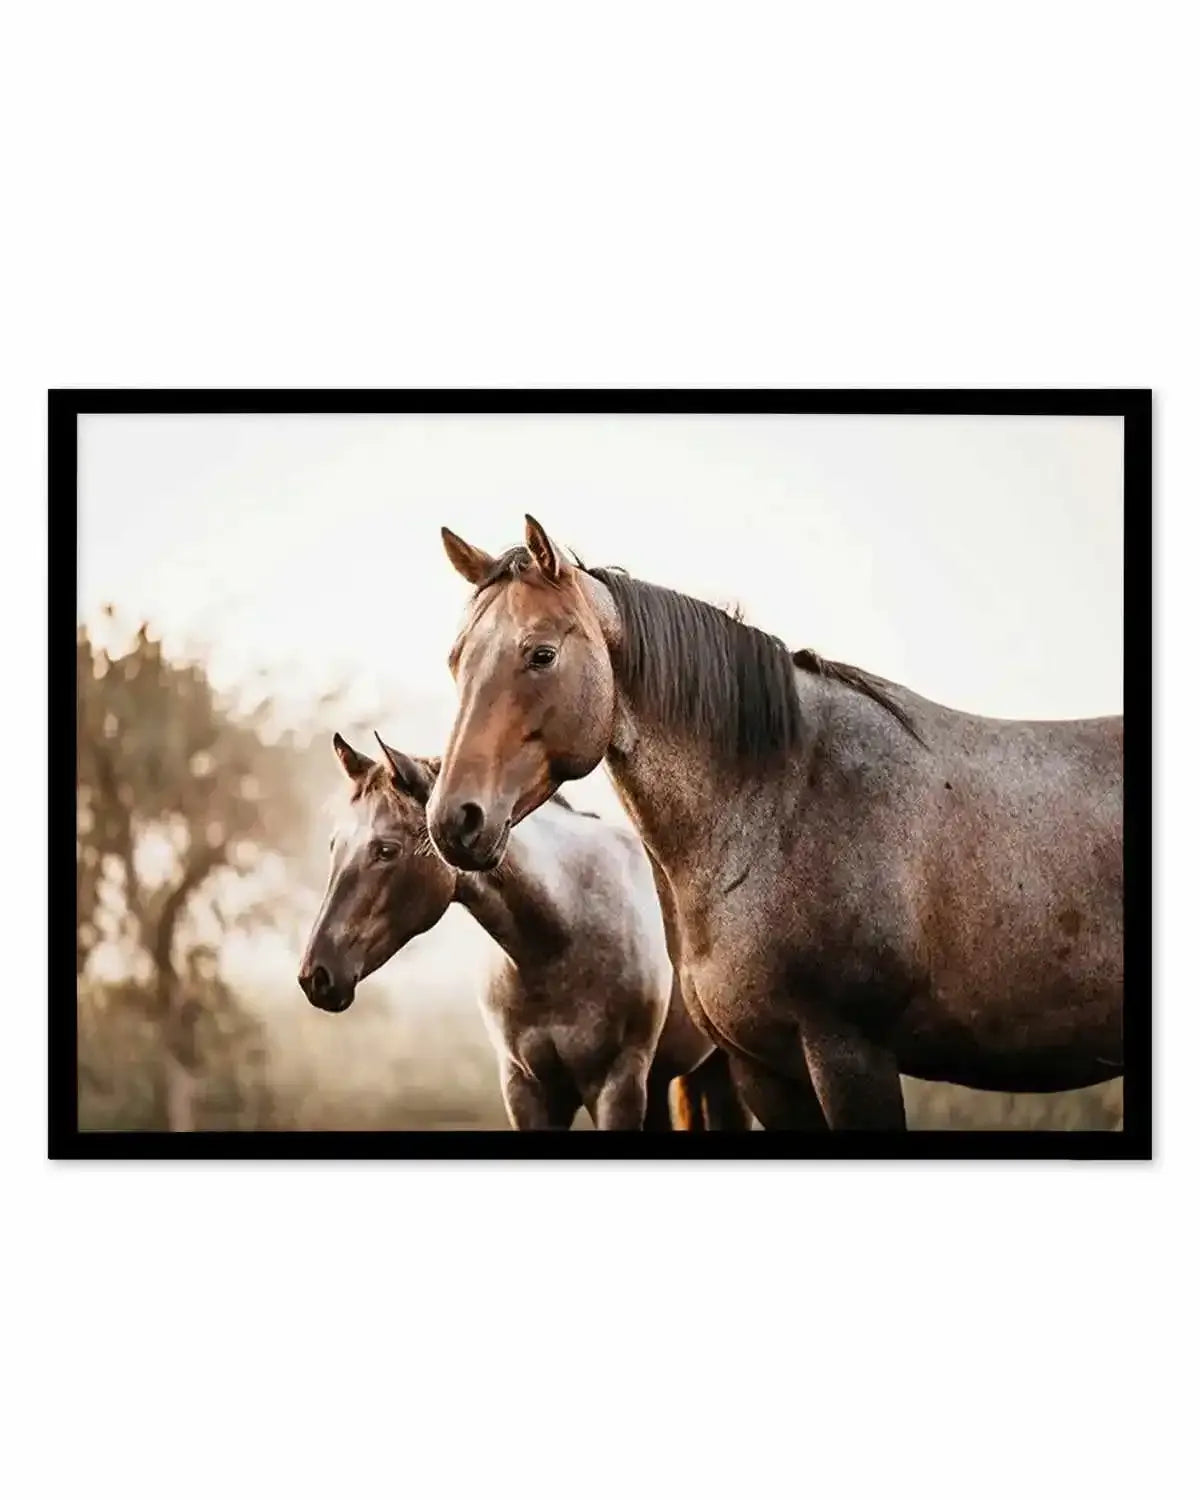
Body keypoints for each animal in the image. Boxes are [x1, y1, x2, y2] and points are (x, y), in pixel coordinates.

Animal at [298, 732, 751, 1131]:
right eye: (335, 845)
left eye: (386, 850)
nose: (315, 976)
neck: (560, 940)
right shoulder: (527, 1089)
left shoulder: (616, 1086)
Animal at [424, 514, 1124, 1131]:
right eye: (456, 660)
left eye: (541, 655)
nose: (454, 819)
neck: (781, 806)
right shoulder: (763, 1068)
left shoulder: (851, 1055)